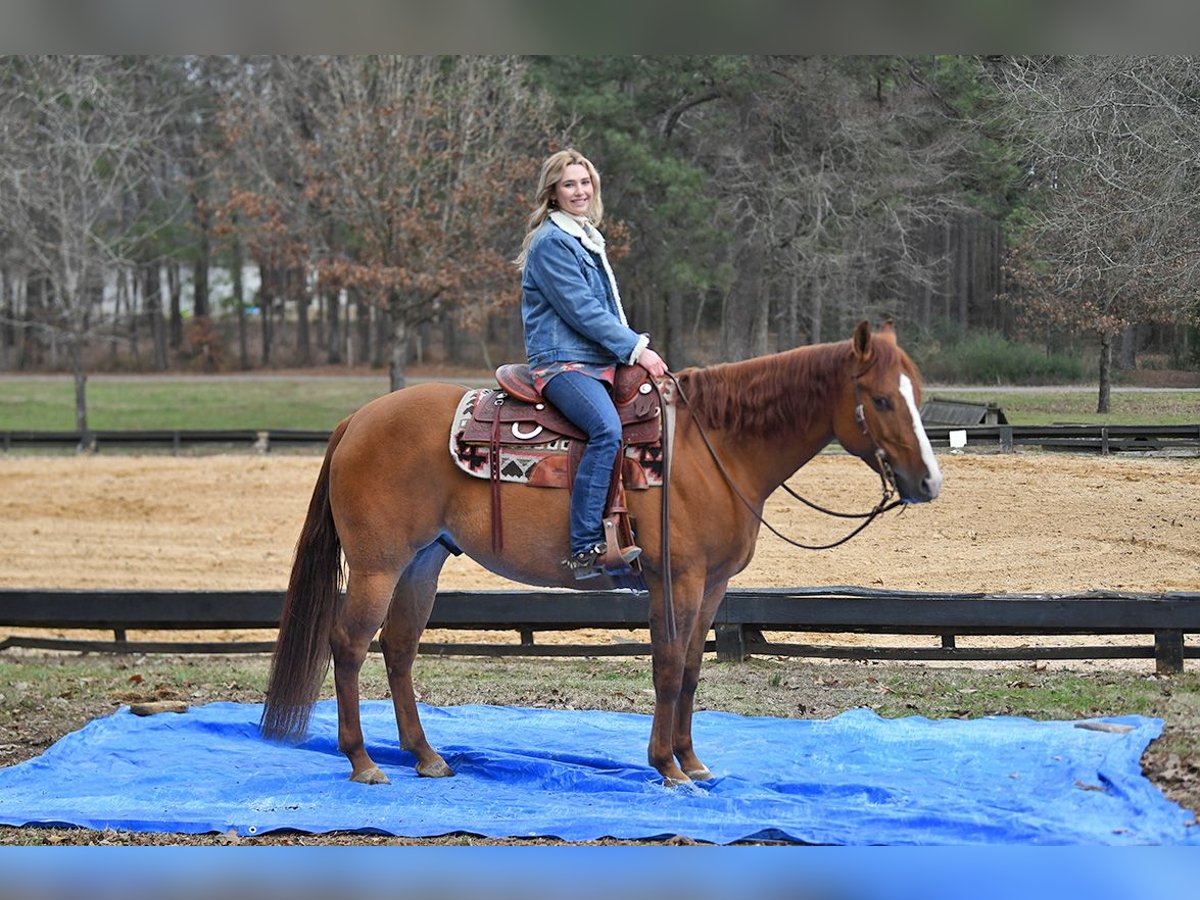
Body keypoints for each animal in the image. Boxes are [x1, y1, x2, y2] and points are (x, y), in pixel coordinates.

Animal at [265, 321, 945, 787]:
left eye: (919, 394)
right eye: (882, 399)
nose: (929, 482)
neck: (711, 447)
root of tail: (357, 419)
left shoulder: (714, 585)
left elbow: (692, 669)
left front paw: (693, 762)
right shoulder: (678, 579)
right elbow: (667, 667)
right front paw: (665, 767)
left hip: (422, 561)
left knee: (400, 648)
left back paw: (426, 757)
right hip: (378, 564)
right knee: (349, 645)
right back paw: (362, 761)